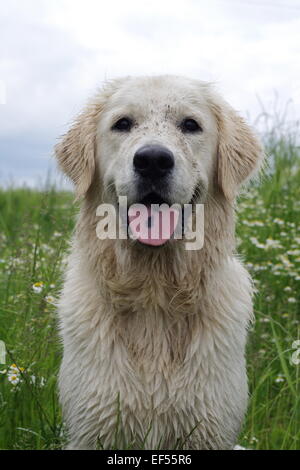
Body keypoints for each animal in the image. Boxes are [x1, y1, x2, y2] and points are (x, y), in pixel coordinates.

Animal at [54, 75, 262, 450]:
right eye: (122, 124)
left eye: (190, 125)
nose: (152, 160)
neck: (155, 292)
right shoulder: (93, 426)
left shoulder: (210, 430)